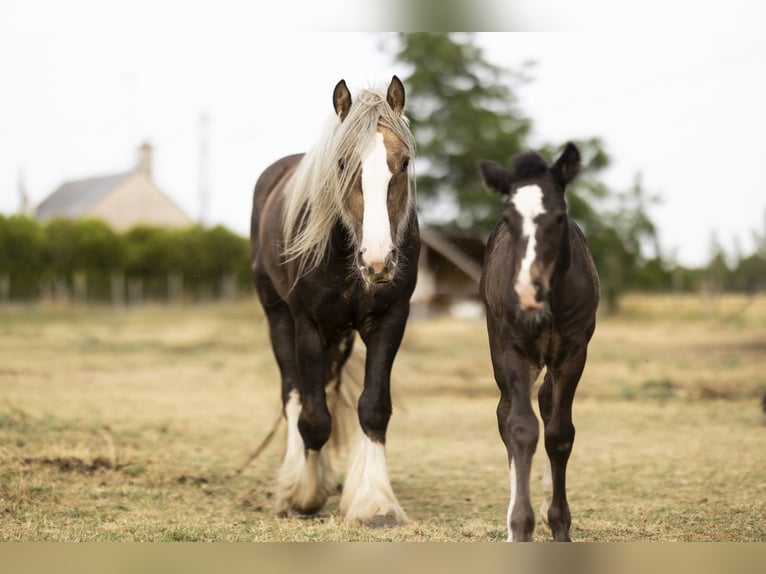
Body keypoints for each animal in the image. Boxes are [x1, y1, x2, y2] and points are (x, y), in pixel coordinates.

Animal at [250, 77, 420, 532]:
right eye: (342, 164)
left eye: (404, 163)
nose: (378, 261)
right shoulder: (307, 324)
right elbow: (312, 417)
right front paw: (303, 495)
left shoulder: (389, 320)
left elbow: (373, 408)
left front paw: (375, 502)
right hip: (279, 318)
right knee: (293, 394)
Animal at [480, 144, 600, 544]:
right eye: (508, 217)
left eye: (559, 217)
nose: (526, 292)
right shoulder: (514, 351)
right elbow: (520, 428)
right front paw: (520, 527)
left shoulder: (573, 353)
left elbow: (559, 434)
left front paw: (559, 525)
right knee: (505, 414)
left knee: (547, 404)